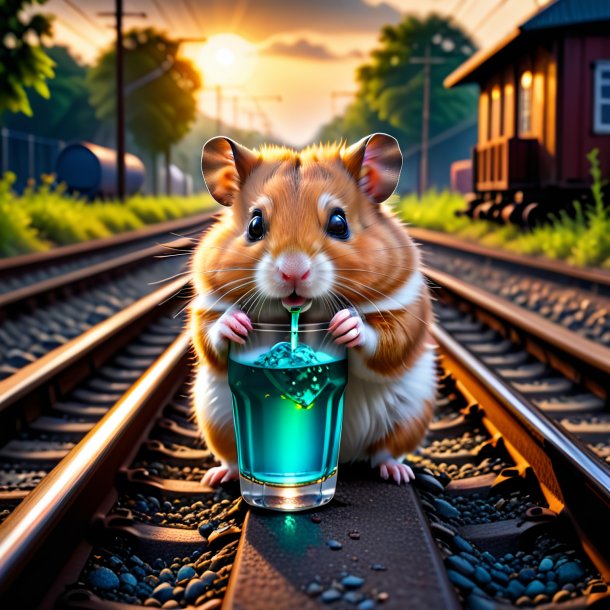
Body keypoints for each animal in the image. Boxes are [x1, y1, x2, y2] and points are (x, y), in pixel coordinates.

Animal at [189, 132, 432, 484]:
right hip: (217, 419)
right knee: (232, 456)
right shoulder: (206, 305)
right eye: (254, 225)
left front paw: (346, 324)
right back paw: (219, 476)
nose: (293, 271)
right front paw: (237, 325)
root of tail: (345, 455)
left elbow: (388, 343)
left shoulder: (408, 307)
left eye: (339, 223)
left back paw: (398, 473)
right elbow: (209, 335)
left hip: (411, 413)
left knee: (384, 452)